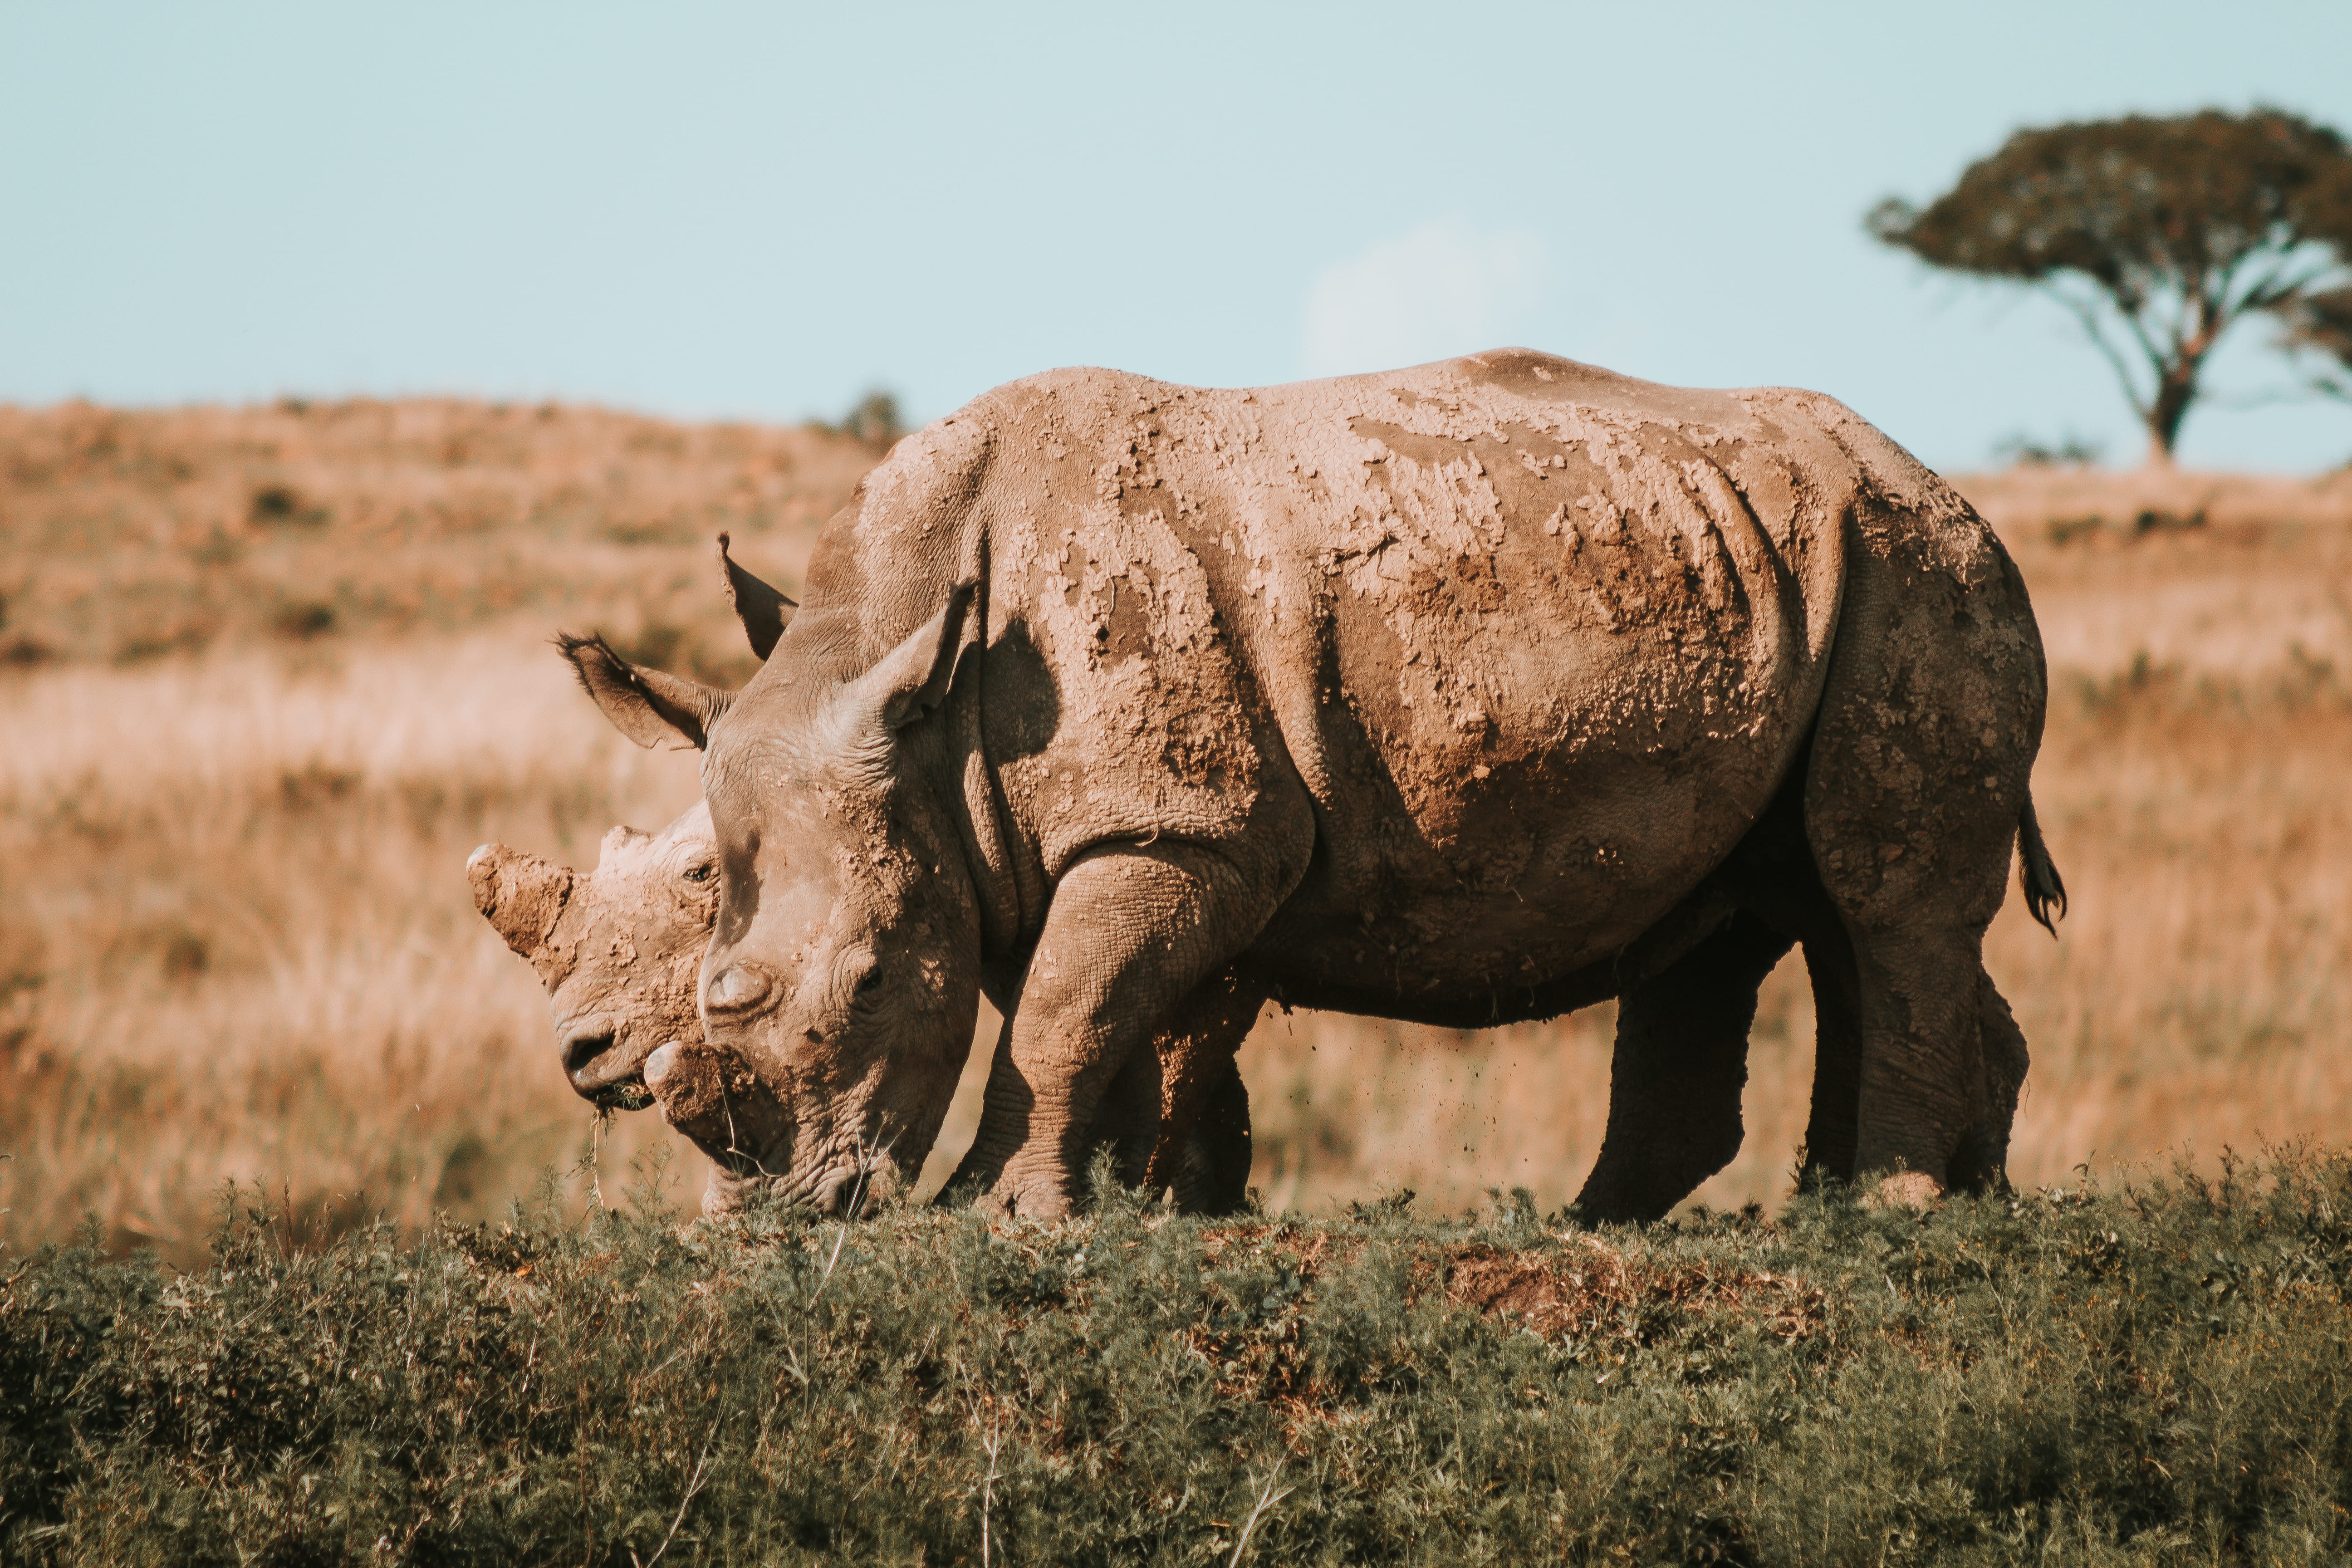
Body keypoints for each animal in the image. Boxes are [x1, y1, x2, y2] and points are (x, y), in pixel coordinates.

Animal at [561, 350, 2064, 1222]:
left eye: (871, 982)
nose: (786, 1214)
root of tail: (1942, 483)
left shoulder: (1178, 829)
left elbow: (1062, 1014)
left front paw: (993, 1217)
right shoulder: (1081, 839)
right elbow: (1113, 1019)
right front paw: (1146, 1216)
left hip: (1918, 575)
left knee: (1879, 896)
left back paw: (1891, 1214)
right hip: (1787, 570)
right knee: (1777, 905)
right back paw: (1827, 1216)